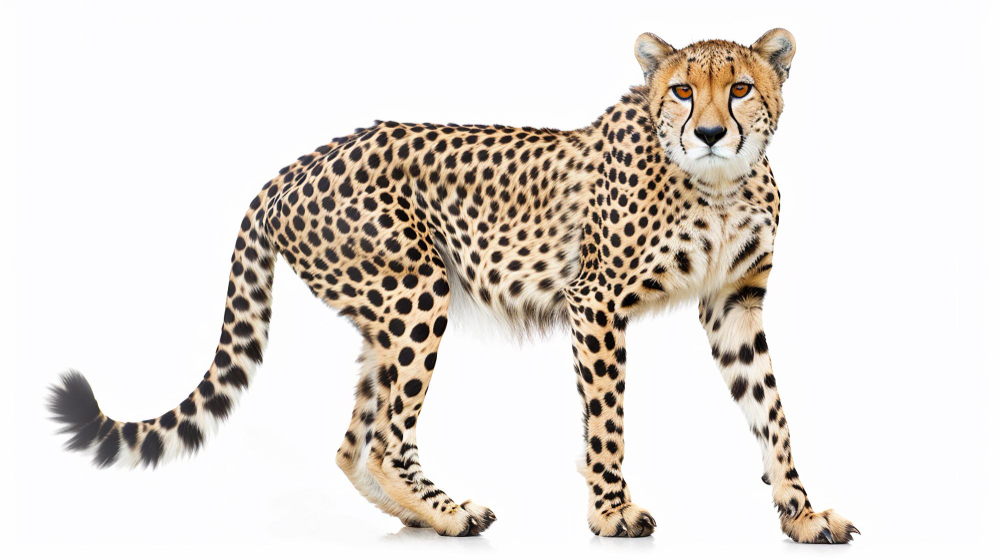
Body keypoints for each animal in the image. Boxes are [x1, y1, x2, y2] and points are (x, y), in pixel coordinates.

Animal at [48, 29, 858, 543]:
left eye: (743, 88)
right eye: (683, 91)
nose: (713, 133)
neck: (718, 185)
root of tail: (297, 163)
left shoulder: (734, 304)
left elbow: (771, 412)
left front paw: (801, 512)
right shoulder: (595, 302)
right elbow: (607, 419)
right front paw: (611, 512)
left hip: (384, 316)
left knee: (353, 442)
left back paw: (421, 515)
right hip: (417, 292)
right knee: (384, 439)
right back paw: (450, 515)